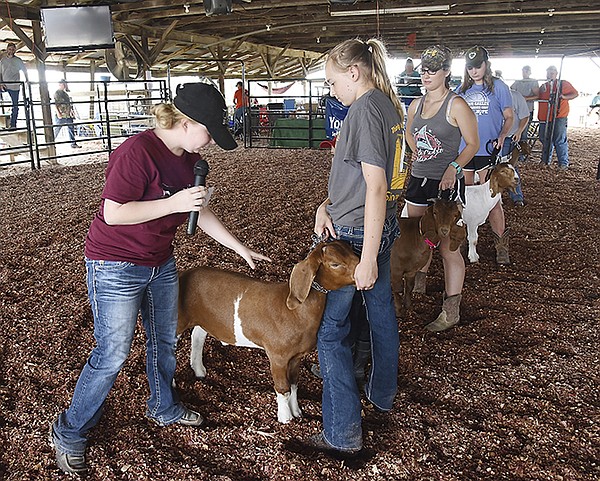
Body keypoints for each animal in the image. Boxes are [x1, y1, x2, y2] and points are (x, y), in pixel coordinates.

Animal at [176, 242, 358, 422]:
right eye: (335, 264)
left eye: (352, 250)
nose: (361, 272)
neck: (294, 311)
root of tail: (185, 274)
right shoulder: (277, 356)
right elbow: (283, 388)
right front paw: (285, 418)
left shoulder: (296, 356)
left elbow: (294, 384)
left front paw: (297, 411)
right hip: (178, 320)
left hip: (205, 319)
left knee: (197, 335)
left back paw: (199, 370)